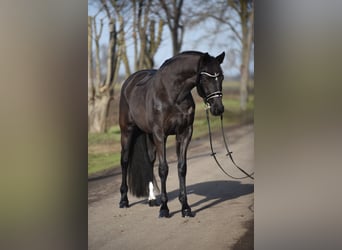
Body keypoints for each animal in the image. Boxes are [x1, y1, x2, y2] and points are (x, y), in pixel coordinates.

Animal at [119, 50, 226, 217]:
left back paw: (151, 199)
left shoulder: (184, 133)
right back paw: (124, 200)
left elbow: (182, 168)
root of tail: (129, 83)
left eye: (221, 77)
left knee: (150, 161)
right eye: (205, 77)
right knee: (124, 161)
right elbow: (163, 169)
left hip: (148, 135)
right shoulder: (160, 134)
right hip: (127, 131)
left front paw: (186, 207)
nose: (218, 109)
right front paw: (164, 208)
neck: (172, 94)